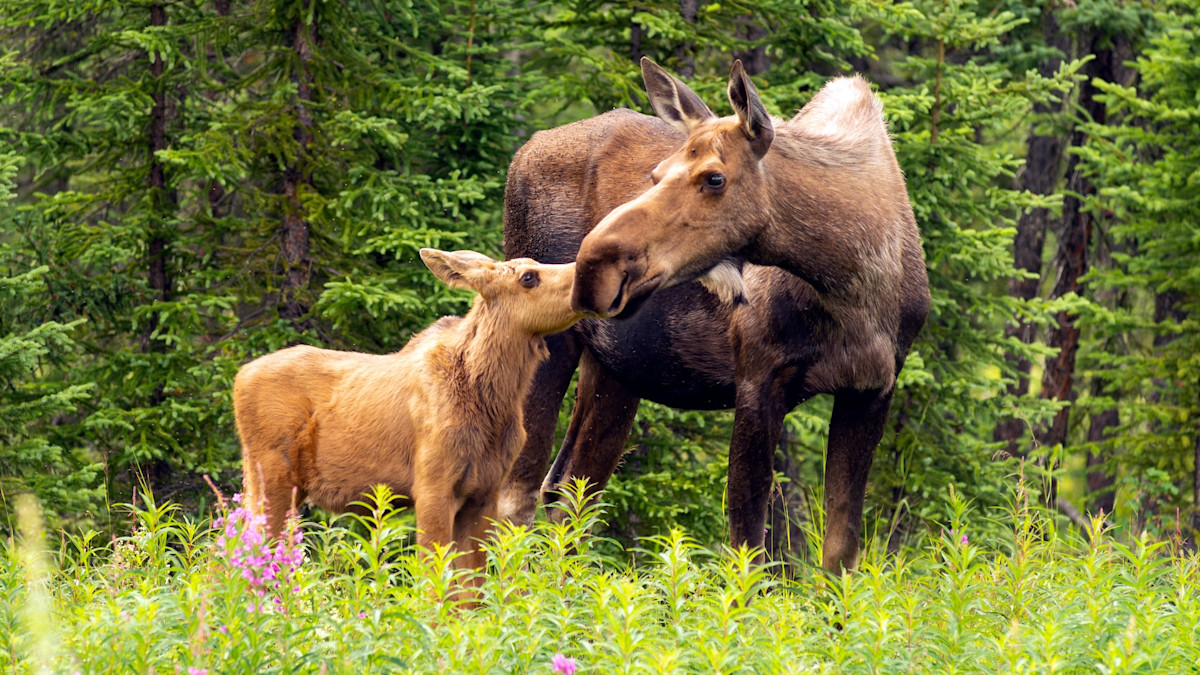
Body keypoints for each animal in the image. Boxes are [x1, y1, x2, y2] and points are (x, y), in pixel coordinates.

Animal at [234, 249, 582, 581]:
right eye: (528, 277)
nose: (581, 274)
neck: (492, 403)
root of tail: (239, 378)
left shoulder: (484, 492)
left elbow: (472, 586)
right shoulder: (432, 486)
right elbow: (435, 579)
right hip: (270, 476)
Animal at [498, 58, 930, 574]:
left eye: (714, 177)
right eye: (656, 174)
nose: (591, 267)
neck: (853, 286)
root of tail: (524, 150)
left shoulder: (871, 388)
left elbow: (839, 554)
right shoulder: (759, 378)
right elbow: (749, 550)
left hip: (615, 368)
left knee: (568, 491)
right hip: (550, 341)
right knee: (516, 493)